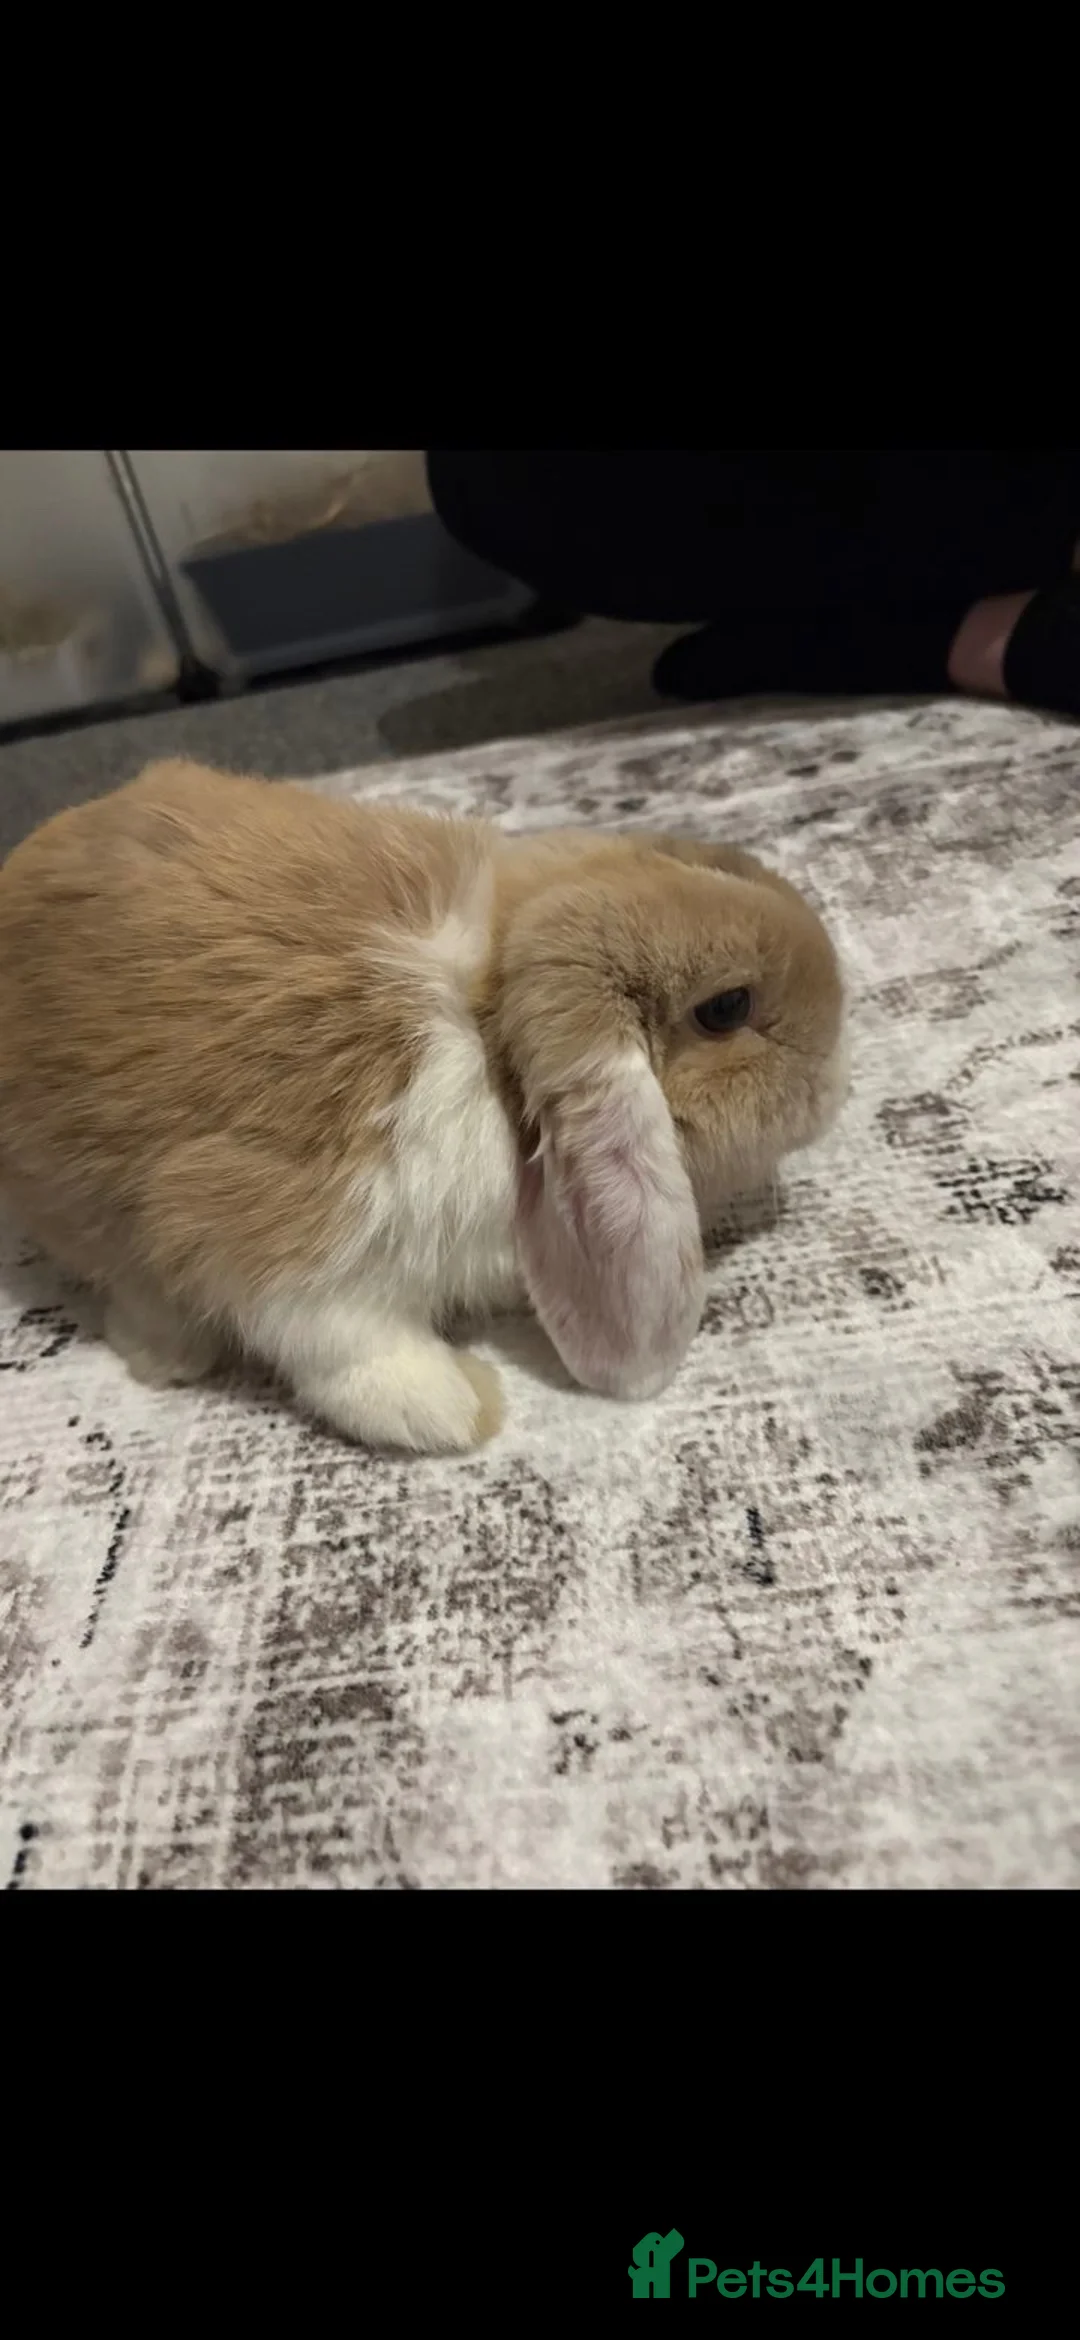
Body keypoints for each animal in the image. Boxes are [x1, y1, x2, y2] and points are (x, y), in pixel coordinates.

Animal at [0, 759, 847, 1453]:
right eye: (727, 1008)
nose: (838, 1079)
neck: (491, 1047)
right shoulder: (278, 1227)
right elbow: (334, 1340)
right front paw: (464, 1407)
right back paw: (169, 1356)